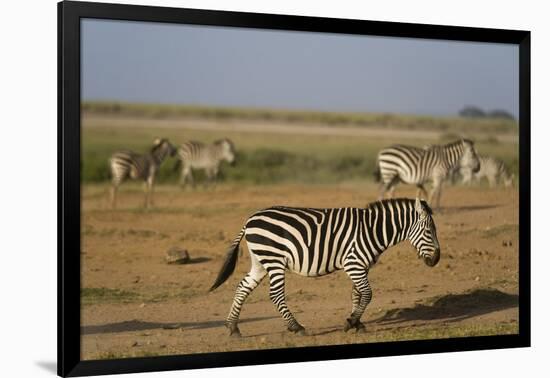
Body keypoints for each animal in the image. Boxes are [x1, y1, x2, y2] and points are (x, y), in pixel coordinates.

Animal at [209, 198, 442, 336]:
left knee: (243, 287)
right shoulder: (353, 263)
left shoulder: (361, 266)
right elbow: (368, 294)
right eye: (429, 231)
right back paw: (296, 327)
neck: (372, 231)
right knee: (275, 294)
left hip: (260, 260)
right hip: (274, 259)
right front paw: (351, 322)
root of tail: (250, 219)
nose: (437, 260)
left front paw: (357, 323)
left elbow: (357, 294)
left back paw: (233, 327)